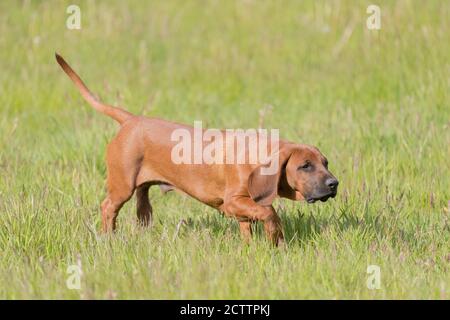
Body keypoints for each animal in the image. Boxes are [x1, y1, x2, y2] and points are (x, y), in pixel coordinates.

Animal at [55, 53, 338, 246]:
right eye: (305, 166)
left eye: (326, 163)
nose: (334, 184)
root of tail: (130, 120)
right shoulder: (233, 202)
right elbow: (269, 212)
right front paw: (275, 237)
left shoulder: (241, 207)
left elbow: (250, 225)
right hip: (121, 185)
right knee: (108, 208)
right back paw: (108, 239)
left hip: (142, 192)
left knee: (142, 209)